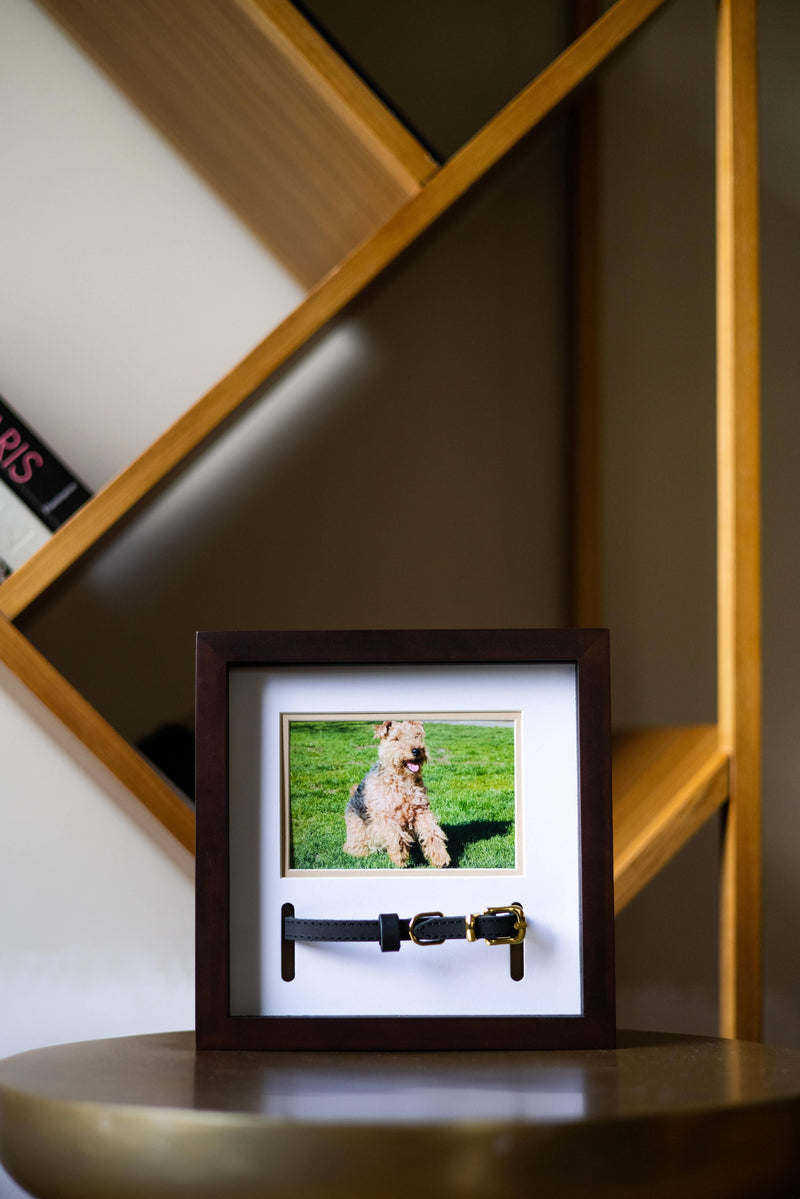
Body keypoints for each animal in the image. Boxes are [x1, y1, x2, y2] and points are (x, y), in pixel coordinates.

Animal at [343, 714, 450, 868]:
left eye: (417, 736)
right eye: (396, 738)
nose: (416, 750)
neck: (402, 781)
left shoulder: (421, 811)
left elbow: (432, 833)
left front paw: (441, 858)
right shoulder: (385, 815)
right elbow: (396, 835)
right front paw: (400, 858)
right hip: (359, 832)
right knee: (354, 847)